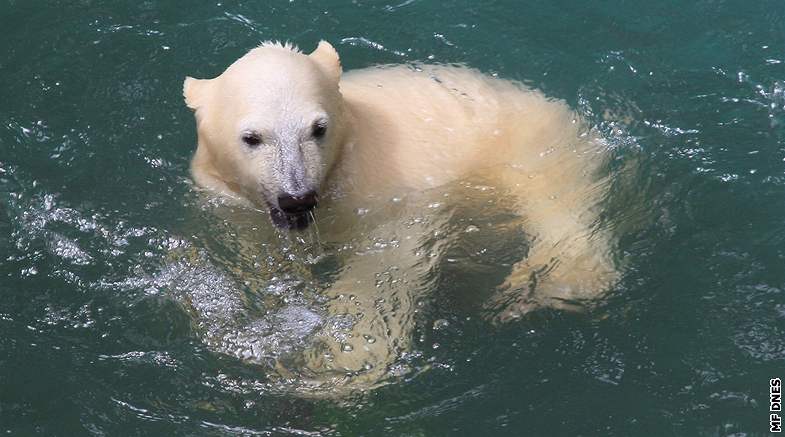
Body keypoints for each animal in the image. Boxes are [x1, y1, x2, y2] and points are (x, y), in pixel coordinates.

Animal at [184, 40, 620, 388]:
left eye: (318, 128)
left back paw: (547, 283)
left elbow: (381, 270)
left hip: (533, 144)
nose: (297, 198)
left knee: (556, 202)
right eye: (252, 137)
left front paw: (339, 360)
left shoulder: (387, 191)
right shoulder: (231, 202)